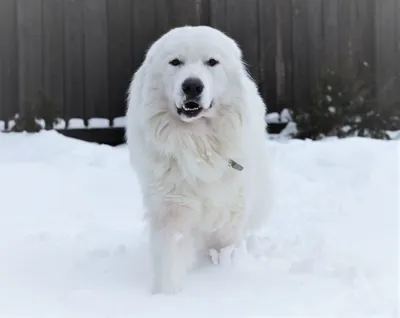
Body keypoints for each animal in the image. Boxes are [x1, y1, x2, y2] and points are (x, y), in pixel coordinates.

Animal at [126, 26, 274, 294]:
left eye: (212, 62)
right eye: (175, 62)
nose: (192, 86)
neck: (198, 142)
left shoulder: (229, 214)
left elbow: (225, 249)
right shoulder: (171, 210)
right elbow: (170, 257)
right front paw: (166, 294)